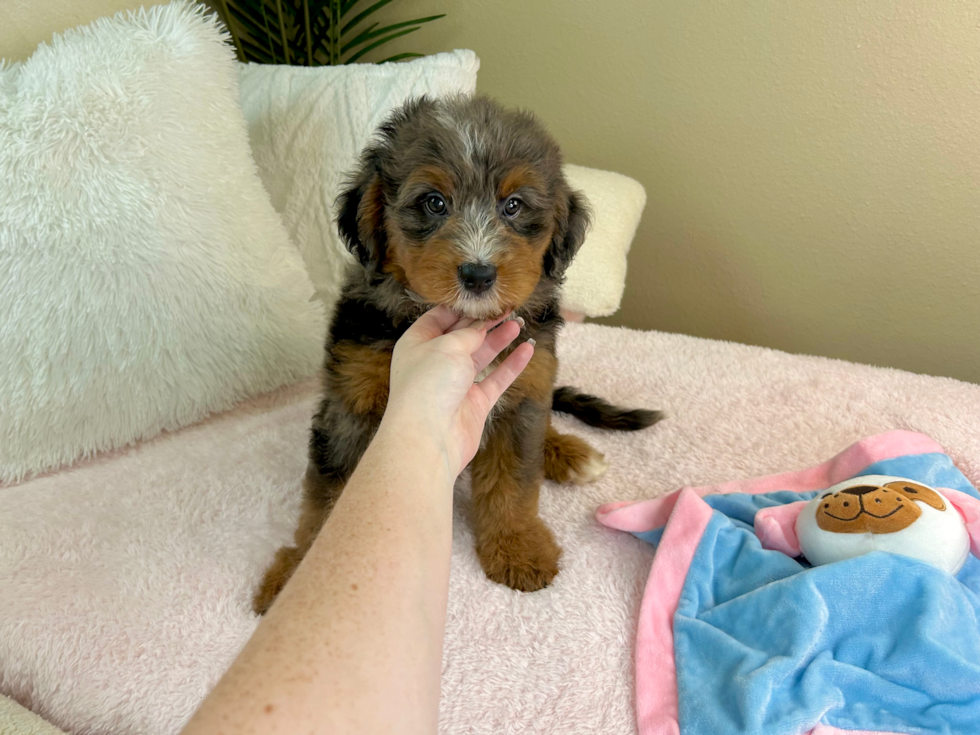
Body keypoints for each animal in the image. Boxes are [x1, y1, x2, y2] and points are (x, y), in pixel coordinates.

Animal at [256, 96, 664, 616]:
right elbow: (329, 495)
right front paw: (303, 572)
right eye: (434, 202)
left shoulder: (520, 387)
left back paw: (568, 452)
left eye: (513, 206)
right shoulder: (350, 404)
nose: (478, 274)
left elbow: (514, 482)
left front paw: (518, 547)